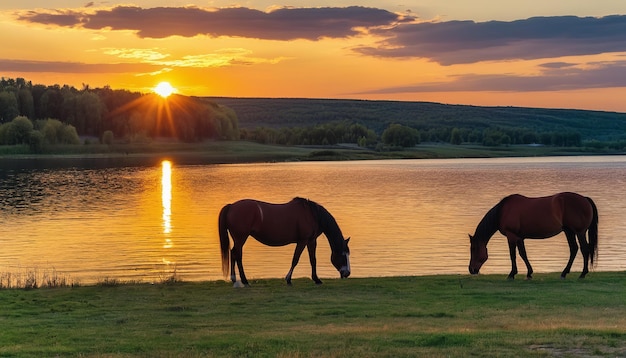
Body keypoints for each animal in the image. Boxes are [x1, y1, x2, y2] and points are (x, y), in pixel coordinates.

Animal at [217, 197, 348, 286]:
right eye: (343, 254)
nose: (347, 273)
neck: (312, 215)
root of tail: (231, 206)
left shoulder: (311, 241)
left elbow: (313, 260)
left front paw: (316, 279)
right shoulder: (303, 241)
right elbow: (295, 259)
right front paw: (288, 279)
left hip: (238, 239)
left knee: (233, 253)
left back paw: (234, 279)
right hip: (240, 238)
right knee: (237, 255)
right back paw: (244, 280)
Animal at [468, 193, 596, 280]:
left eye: (473, 249)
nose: (471, 269)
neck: (502, 211)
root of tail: (585, 199)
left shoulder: (511, 236)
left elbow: (513, 255)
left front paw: (511, 274)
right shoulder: (519, 237)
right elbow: (523, 254)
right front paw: (529, 273)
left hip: (579, 232)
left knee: (584, 249)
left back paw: (582, 273)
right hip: (569, 231)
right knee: (574, 249)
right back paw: (564, 273)